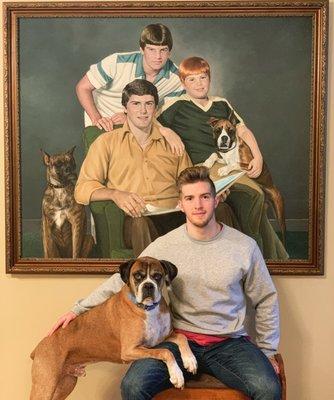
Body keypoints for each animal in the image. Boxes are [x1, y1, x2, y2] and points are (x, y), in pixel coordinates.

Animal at [30, 258, 197, 398]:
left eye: (157, 276)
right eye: (137, 276)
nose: (148, 285)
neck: (148, 309)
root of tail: (38, 347)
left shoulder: (162, 338)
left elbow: (182, 337)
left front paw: (190, 361)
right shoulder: (131, 350)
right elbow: (166, 351)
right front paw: (177, 375)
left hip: (66, 383)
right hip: (46, 384)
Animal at [204, 111, 288, 245]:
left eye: (230, 131)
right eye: (218, 130)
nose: (224, 138)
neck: (230, 151)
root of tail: (273, 189)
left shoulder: (248, 165)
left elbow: (235, 163)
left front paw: (223, 170)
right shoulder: (223, 159)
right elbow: (214, 155)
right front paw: (207, 162)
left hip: (279, 214)